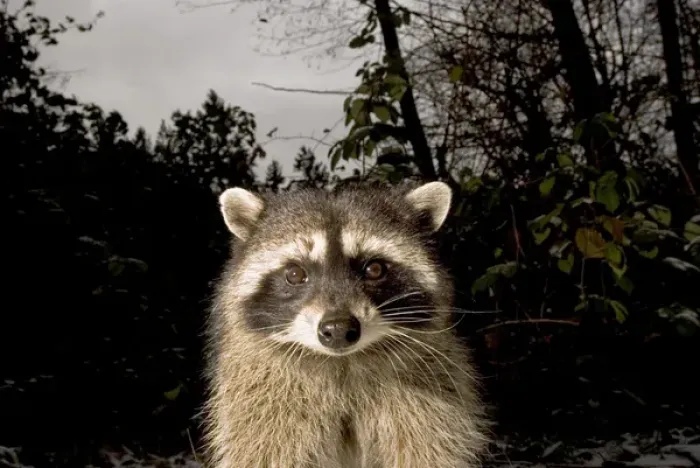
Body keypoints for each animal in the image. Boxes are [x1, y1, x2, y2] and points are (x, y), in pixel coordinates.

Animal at [202, 181, 489, 468]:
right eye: (295, 274)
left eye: (374, 269)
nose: (338, 329)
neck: (342, 362)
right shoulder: (263, 401)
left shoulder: (430, 397)